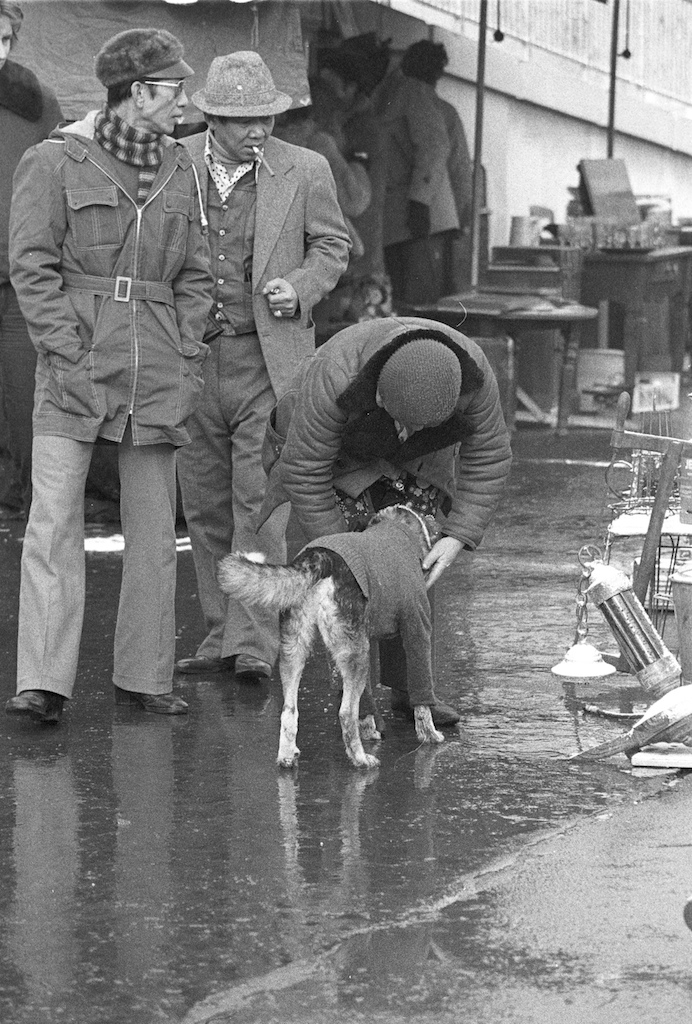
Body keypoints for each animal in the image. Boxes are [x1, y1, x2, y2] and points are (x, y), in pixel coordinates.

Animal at [218, 504, 445, 770]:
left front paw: (370, 730)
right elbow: (421, 698)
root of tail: (319, 559)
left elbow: (367, 704)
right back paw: (360, 759)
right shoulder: (417, 629)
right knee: (346, 713)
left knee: (289, 709)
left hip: (297, 650)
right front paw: (430, 735)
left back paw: (287, 756)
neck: (400, 528)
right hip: (358, 655)